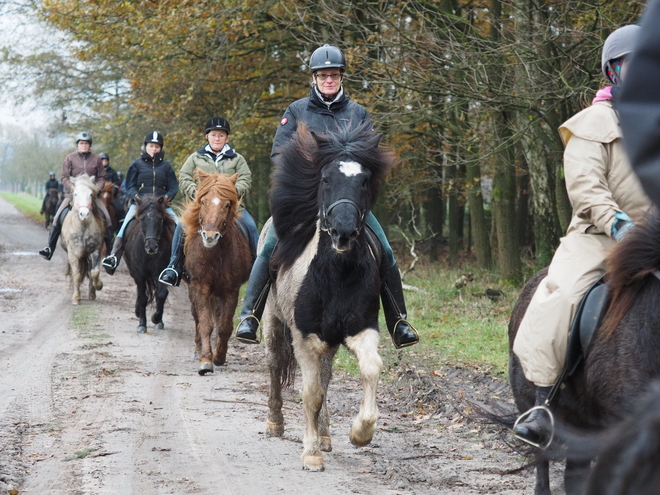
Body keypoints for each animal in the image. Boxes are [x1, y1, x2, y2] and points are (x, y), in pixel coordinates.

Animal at [59, 174, 104, 306]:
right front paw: (76, 297)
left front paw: (98, 285)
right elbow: (77, 274)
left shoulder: (95, 251)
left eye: (91, 194)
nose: (84, 214)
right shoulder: (73, 254)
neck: (83, 226)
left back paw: (92, 293)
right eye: (75, 194)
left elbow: (94, 272)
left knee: (90, 270)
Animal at [121, 197, 173, 334]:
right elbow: (143, 298)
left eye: (160, 219)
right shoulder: (139, 275)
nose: (151, 247)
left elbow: (161, 294)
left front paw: (157, 319)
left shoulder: (161, 272)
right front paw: (142, 324)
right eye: (142, 219)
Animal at [180, 170, 253, 376]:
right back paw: (198, 351)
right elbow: (205, 323)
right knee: (197, 317)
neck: (215, 253)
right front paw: (205, 360)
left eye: (227, 204)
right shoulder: (200, 286)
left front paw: (219, 356)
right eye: (203, 202)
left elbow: (224, 326)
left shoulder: (230, 290)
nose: (210, 236)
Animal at [260, 124, 392, 472]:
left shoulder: (362, 329)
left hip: (330, 341)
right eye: (326, 179)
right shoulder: (305, 337)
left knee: (327, 376)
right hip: (273, 322)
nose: (343, 232)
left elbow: (370, 368)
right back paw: (275, 422)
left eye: (364, 180)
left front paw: (360, 433)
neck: (337, 274)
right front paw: (311, 453)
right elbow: (311, 393)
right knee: (275, 364)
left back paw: (325, 434)